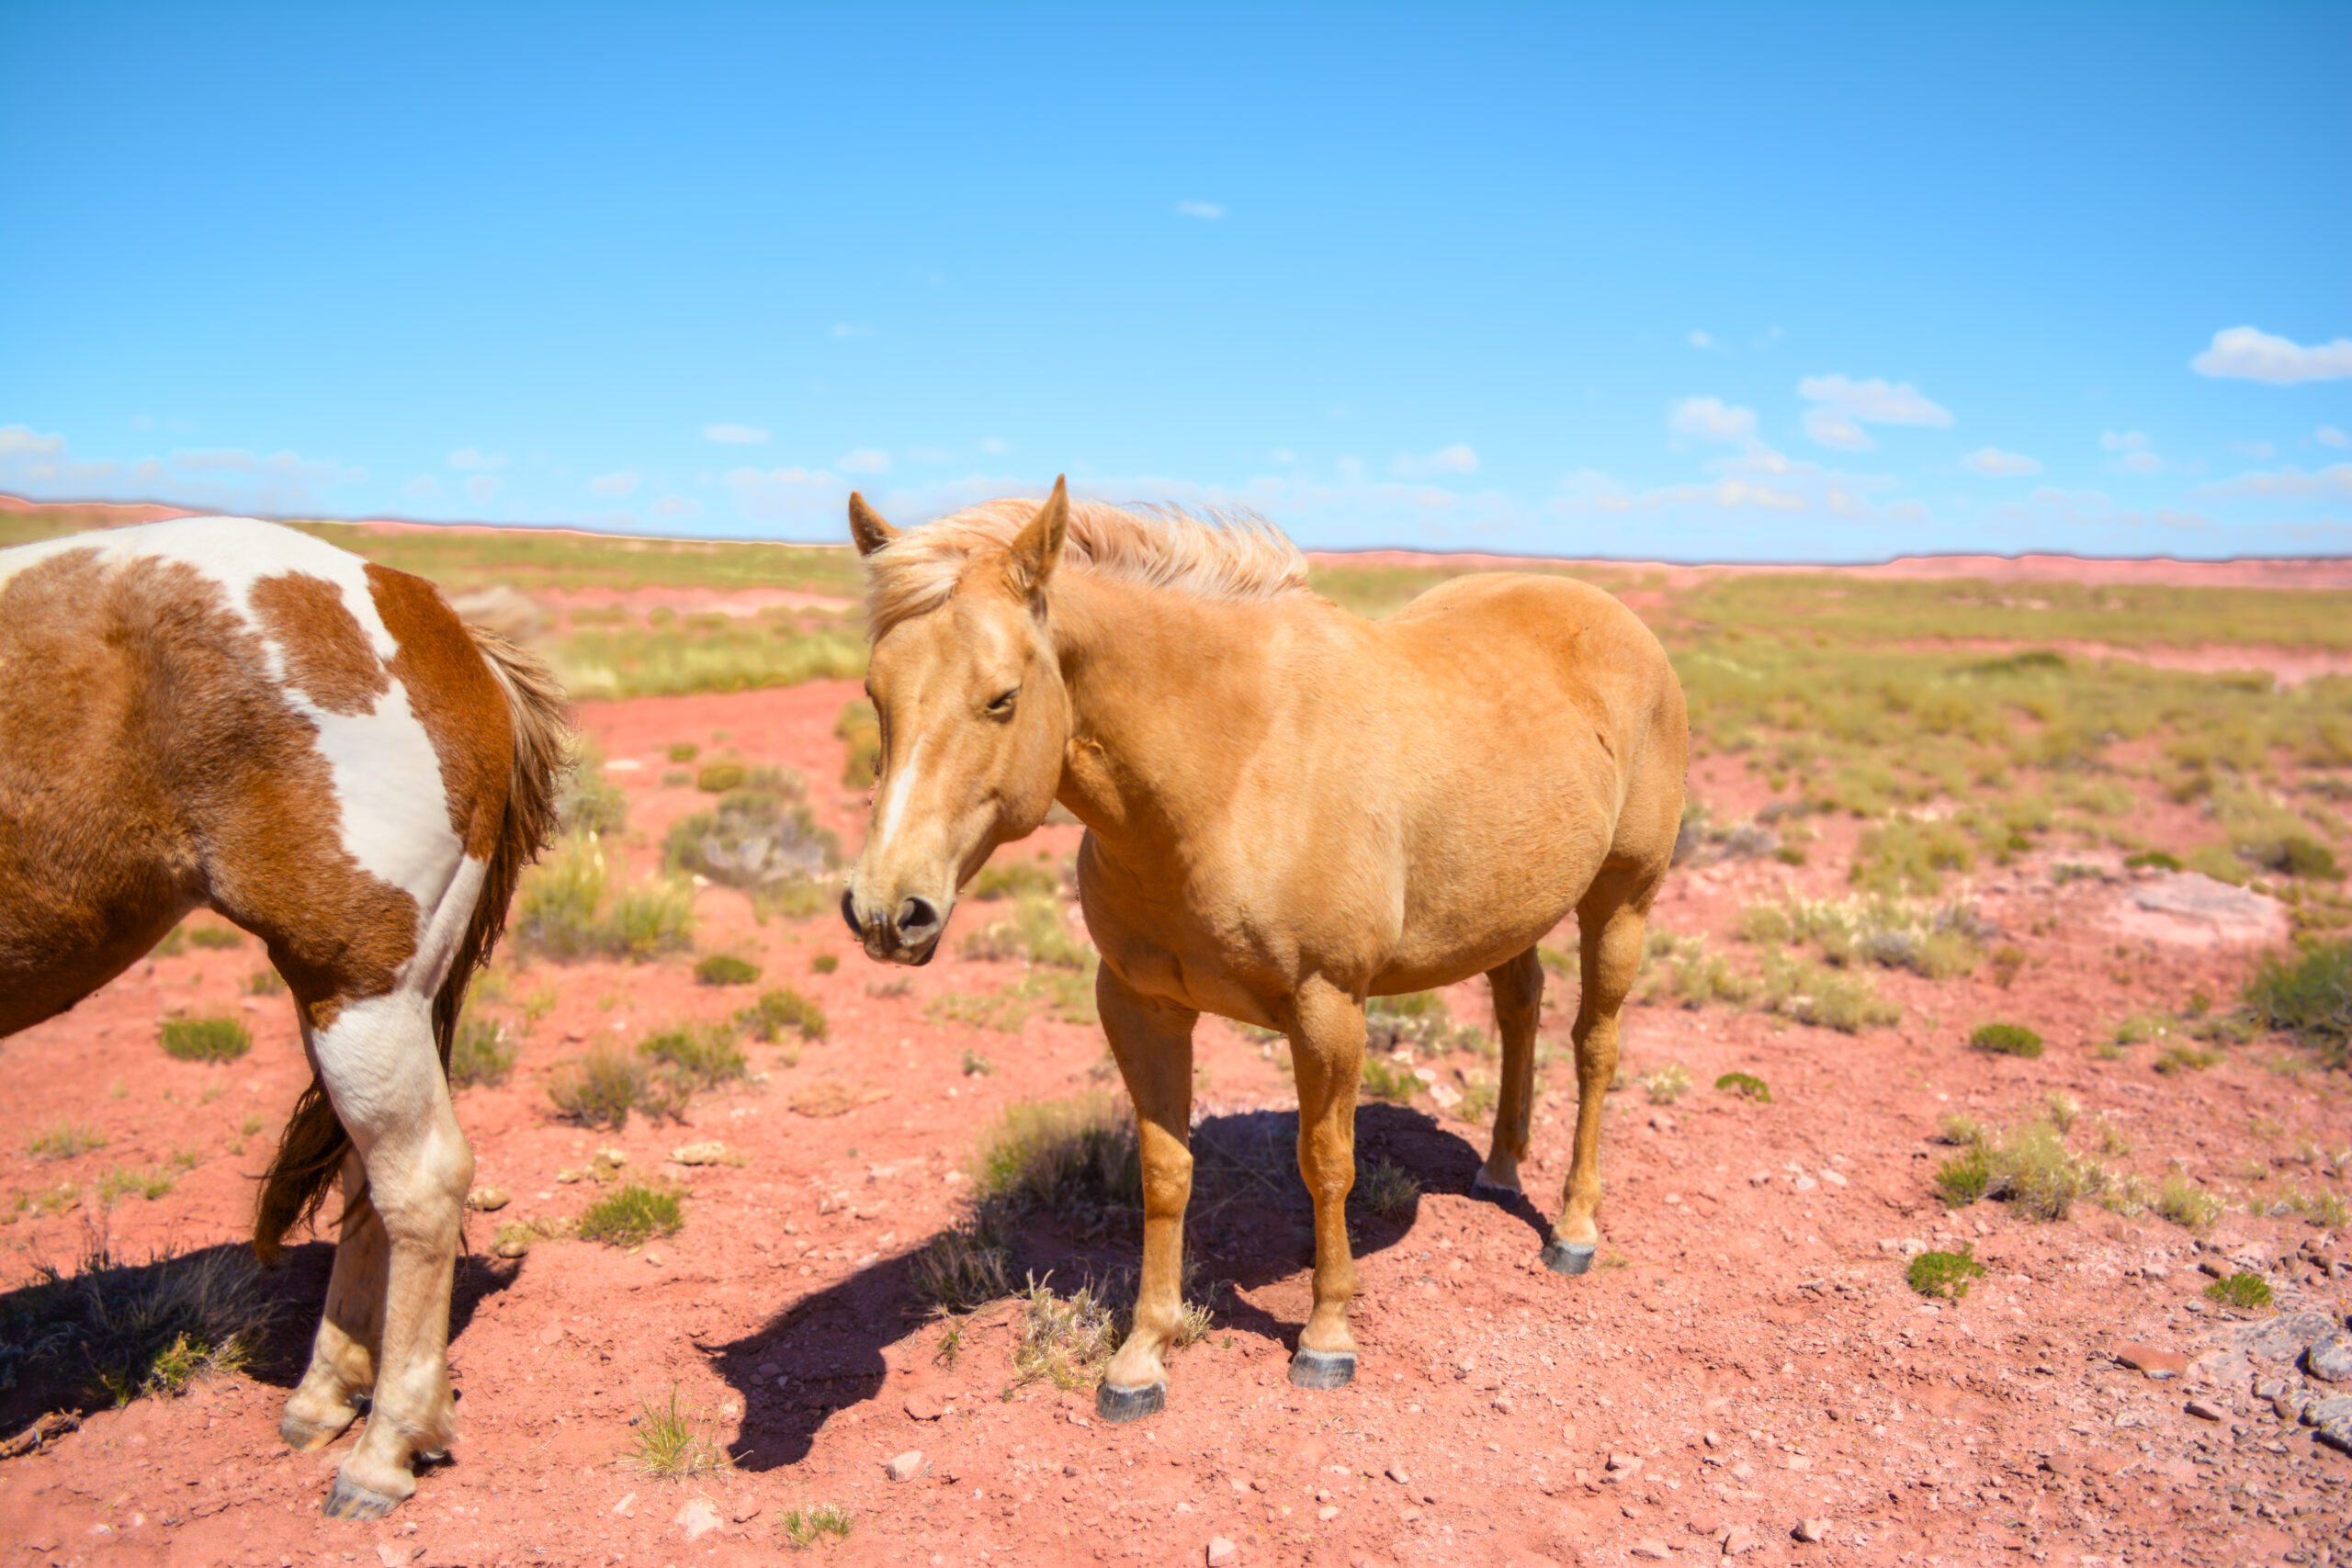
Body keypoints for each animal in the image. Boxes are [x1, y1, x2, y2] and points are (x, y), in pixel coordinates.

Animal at [0, 516, 567, 1517]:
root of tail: (431, 618)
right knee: (367, 1180)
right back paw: (324, 1398)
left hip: (355, 983)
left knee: (418, 1178)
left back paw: (383, 1450)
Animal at [838, 479, 1687, 1421]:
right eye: (876, 694)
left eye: (1001, 698)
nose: (886, 911)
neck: (1234, 766)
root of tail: (1619, 619)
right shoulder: (1138, 1003)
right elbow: (1165, 1170)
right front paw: (1143, 1353)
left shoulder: (1328, 1005)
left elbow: (1327, 1163)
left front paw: (1326, 1337)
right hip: (1509, 906)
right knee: (1519, 1009)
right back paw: (1501, 1169)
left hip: (1622, 899)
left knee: (1595, 1047)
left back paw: (1572, 1228)